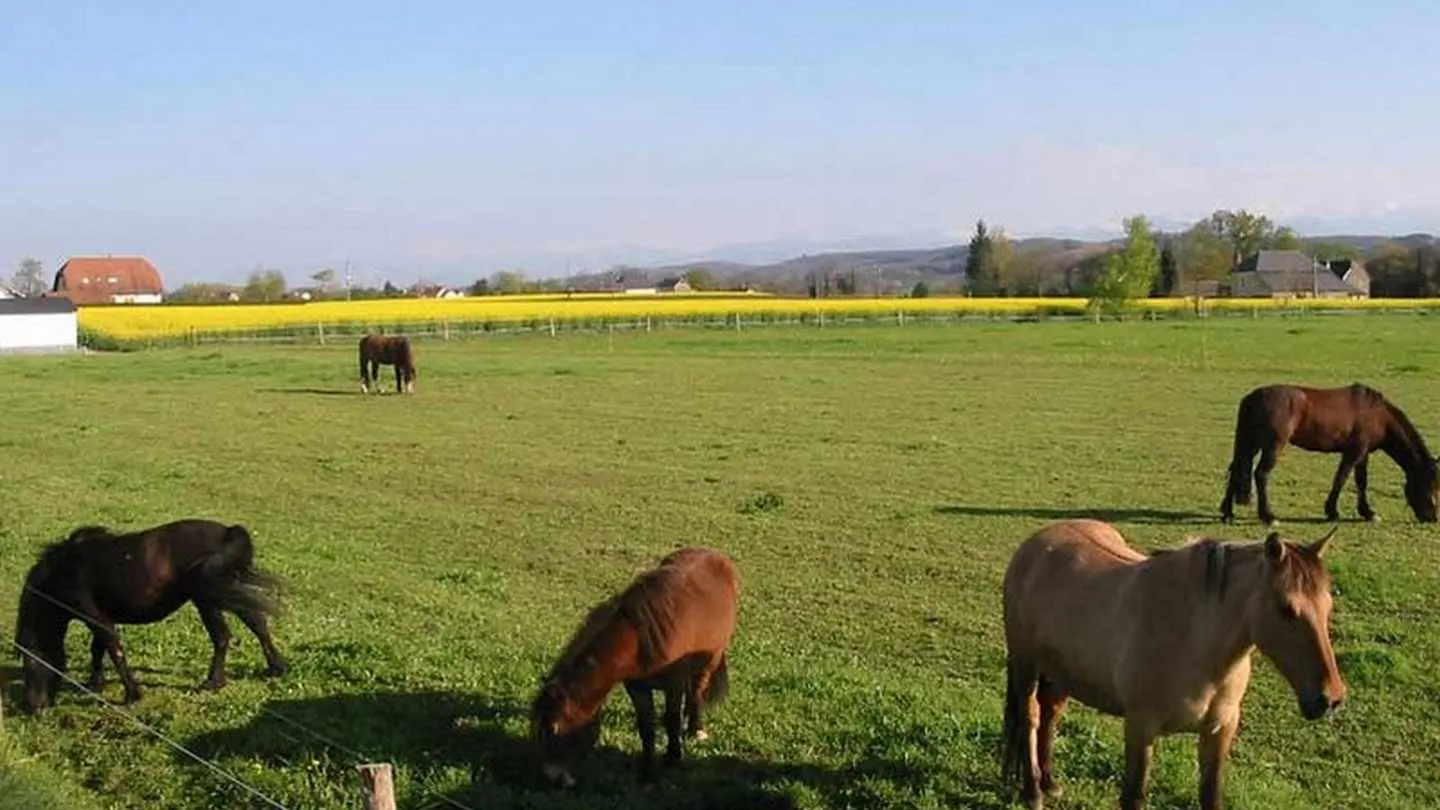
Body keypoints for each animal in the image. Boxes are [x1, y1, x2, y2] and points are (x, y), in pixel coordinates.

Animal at [14, 515, 288, 711]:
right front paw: (95, 684)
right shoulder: (101, 617)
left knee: (223, 637)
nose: (32, 707)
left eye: (31, 660)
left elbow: (114, 650)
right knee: (257, 622)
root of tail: (229, 531)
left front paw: (131, 695)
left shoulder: (95, 617)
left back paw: (213, 682)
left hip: (208, 599)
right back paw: (277, 667)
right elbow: (98, 650)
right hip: (224, 592)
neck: (64, 570)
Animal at [527, 541, 737, 784]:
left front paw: (673, 758)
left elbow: (672, 719)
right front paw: (647, 771)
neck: (642, 638)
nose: (553, 779)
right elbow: (646, 727)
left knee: (697, 691)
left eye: (554, 730)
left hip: (711, 659)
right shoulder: (637, 688)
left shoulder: (673, 683)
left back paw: (695, 729)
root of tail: (715, 555)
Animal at [1002, 515, 1347, 807]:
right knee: (1030, 717)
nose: (1330, 698)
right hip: (1026, 664)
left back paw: (1050, 782)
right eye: (1286, 608)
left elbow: (1211, 796)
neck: (1195, 642)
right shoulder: (1140, 728)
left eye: (1328, 605)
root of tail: (1036, 543)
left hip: (1062, 672)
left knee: (1051, 713)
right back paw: (1033, 792)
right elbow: (1134, 797)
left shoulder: (1219, 731)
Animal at [1215, 380, 1440, 524]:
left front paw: (1367, 513)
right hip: (1272, 446)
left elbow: (1361, 482)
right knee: (1261, 474)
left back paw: (1228, 514)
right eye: (1429, 485)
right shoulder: (1354, 452)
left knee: (1236, 471)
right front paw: (1332, 512)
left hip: (1249, 444)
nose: (1432, 518)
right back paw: (1268, 516)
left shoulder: (1363, 453)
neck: (1377, 414)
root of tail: (1252, 398)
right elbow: (1341, 478)